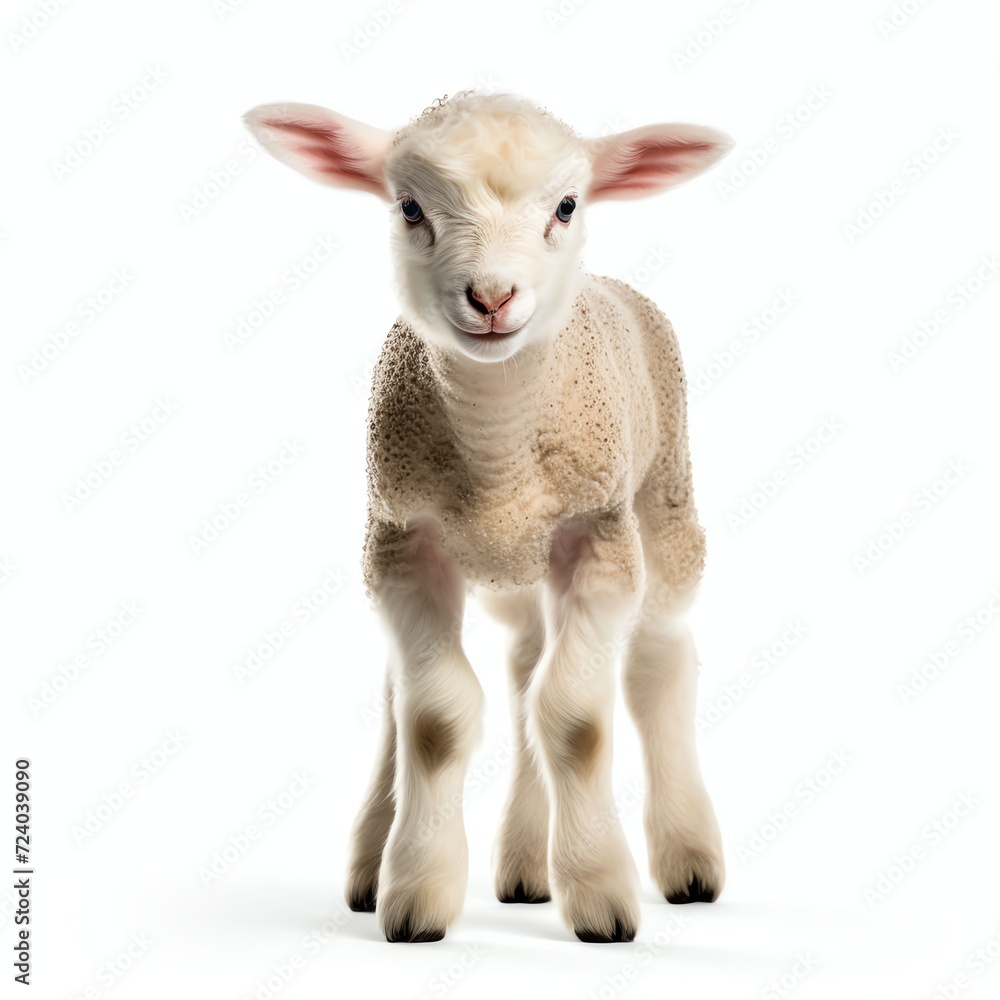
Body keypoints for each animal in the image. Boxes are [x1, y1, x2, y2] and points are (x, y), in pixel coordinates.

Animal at [242, 90, 733, 943]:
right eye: (409, 206)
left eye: (567, 205)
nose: (493, 298)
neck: (499, 447)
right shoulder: (400, 545)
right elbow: (434, 720)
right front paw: (417, 891)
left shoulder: (600, 537)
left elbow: (576, 718)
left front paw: (600, 893)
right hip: (508, 573)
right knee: (503, 672)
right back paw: (482, 864)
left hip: (664, 502)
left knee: (657, 661)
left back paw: (687, 856)